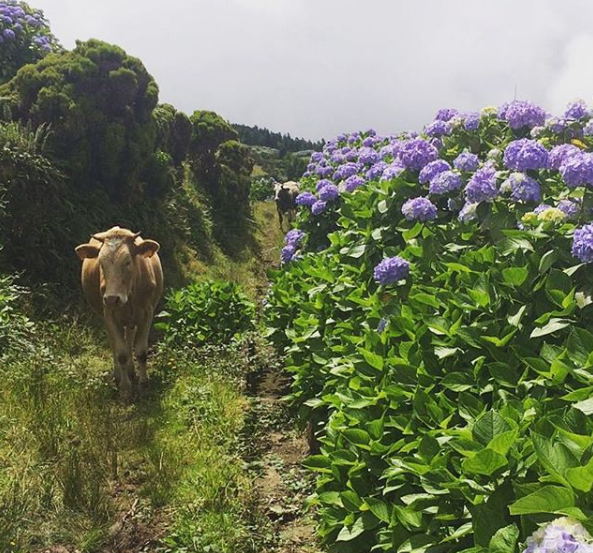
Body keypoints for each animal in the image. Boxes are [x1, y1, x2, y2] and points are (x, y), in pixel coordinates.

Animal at [77, 225, 164, 396]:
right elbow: (121, 353)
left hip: (132, 319)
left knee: (129, 337)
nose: (112, 298)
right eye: (101, 263)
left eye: (128, 262)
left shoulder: (147, 313)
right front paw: (125, 388)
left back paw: (131, 371)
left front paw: (144, 383)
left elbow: (141, 352)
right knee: (115, 344)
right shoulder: (109, 314)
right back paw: (119, 375)